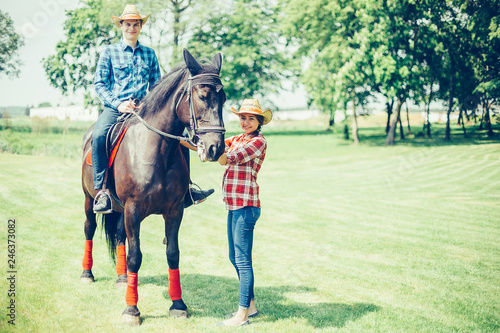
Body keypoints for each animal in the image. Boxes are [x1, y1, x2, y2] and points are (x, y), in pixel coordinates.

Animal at [79, 49, 225, 324]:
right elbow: (136, 257)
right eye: (202, 96)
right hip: (89, 200)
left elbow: (173, 254)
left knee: (119, 236)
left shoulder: (174, 211)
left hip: (119, 209)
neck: (156, 151)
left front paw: (178, 305)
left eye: (223, 98)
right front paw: (131, 310)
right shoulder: (133, 210)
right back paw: (87, 274)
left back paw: (122, 278)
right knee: (89, 229)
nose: (216, 147)